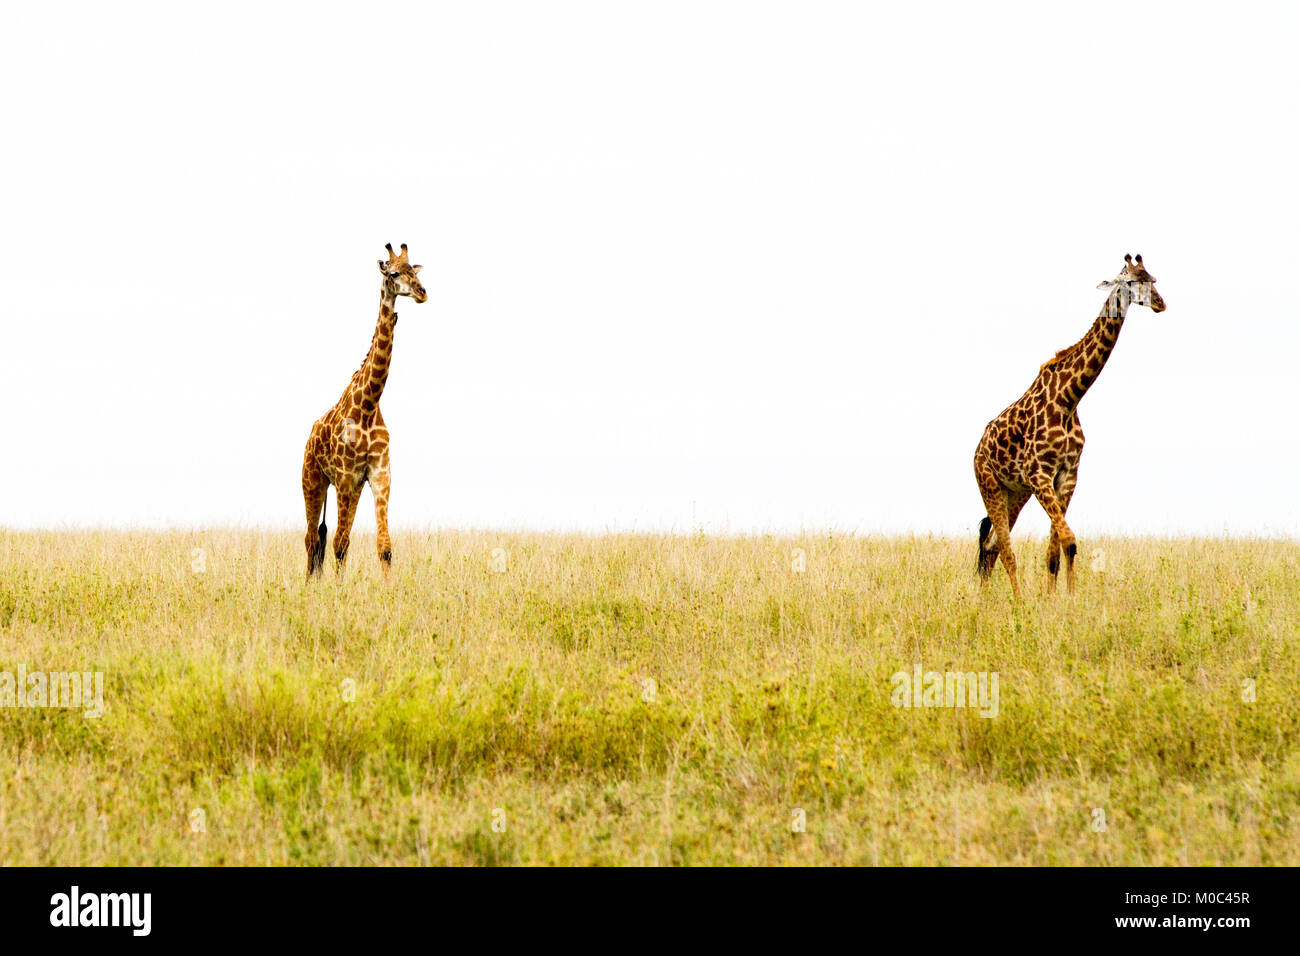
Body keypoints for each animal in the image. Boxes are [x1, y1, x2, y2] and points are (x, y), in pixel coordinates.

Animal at [301, 243, 428, 580]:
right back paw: (309, 583)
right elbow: (338, 543)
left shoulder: (379, 473)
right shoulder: (345, 476)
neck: (369, 406)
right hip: (313, 480)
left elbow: (384, 547)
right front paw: (338, 588)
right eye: (394, 273)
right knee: (312, 537)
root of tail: (309, 438)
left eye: (414, 271)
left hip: (351, 488)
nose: (422, 292)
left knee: (323, 537)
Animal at [977, 254, 1170, 598]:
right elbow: (1069, 539)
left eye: (1154, 279)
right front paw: (1064, 597)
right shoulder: (1039, 475)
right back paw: (1017, 600)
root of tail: (977, 449)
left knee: (991, 545)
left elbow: (1057, 550)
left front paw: (1059, 598)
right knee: (1004, 548)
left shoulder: (1067, 475)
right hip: (990, 485)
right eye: (1131, 281)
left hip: (1016, 492)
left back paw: (987, 600)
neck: (1069, 399)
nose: (1161, 304)